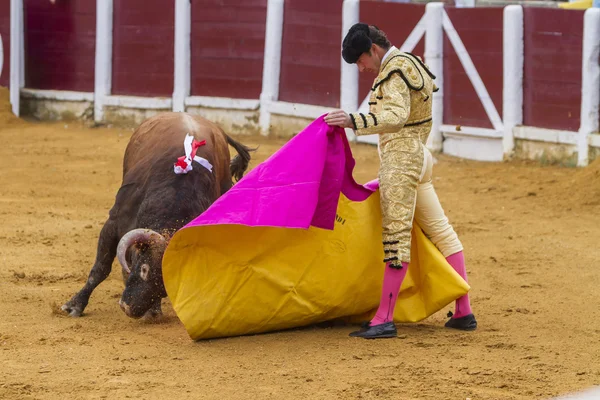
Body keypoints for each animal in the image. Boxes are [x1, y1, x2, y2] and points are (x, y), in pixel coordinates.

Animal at [62, 111, 253, 318]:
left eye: (166, 288)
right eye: (144, 269)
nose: (130, 309)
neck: (175, 193)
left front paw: (154, 310)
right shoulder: (113, 223)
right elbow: (101, 268)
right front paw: (74, 305)